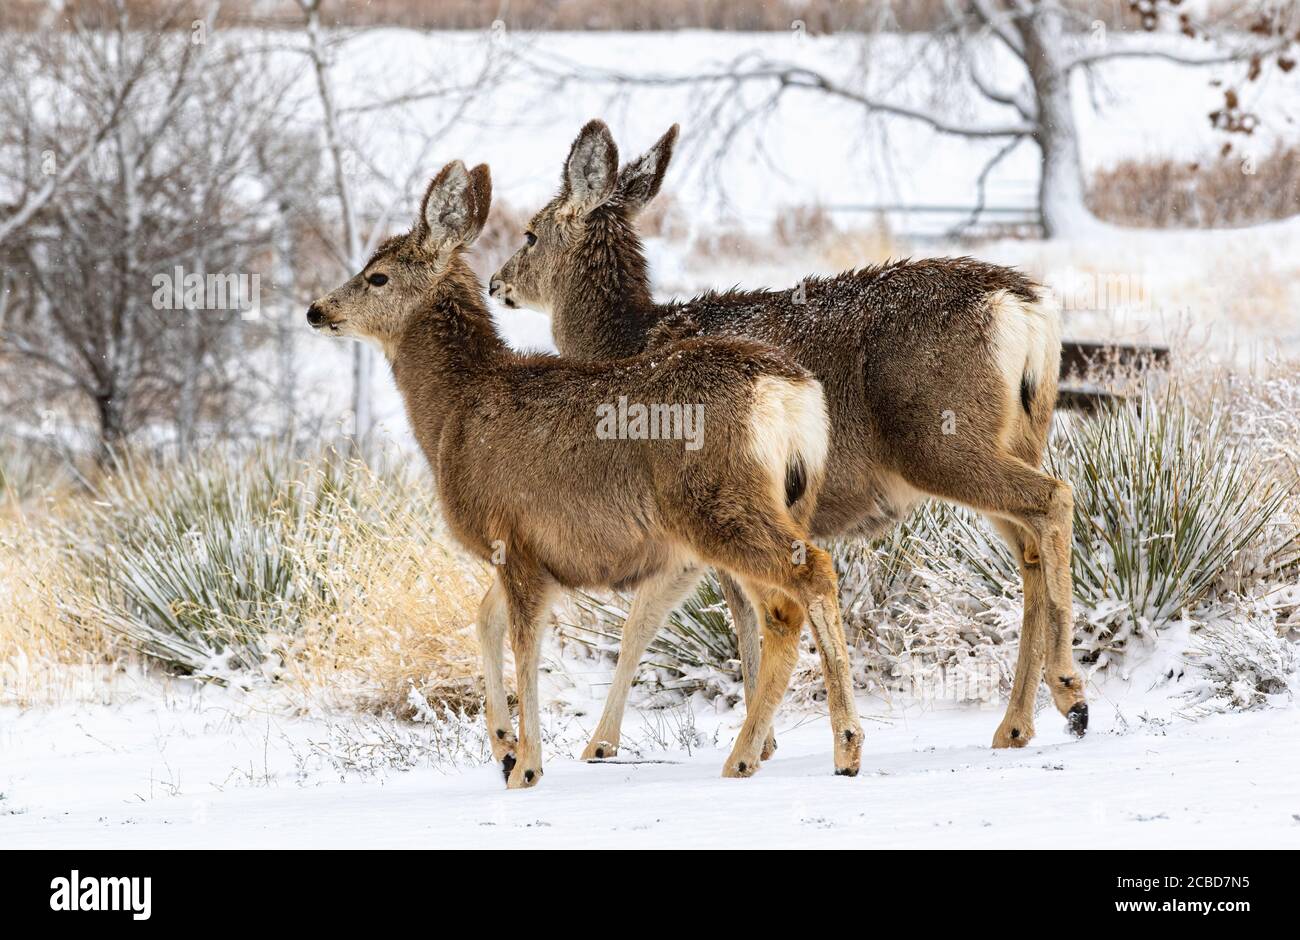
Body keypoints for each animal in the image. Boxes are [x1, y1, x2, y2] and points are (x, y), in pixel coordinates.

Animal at [306, 159, 864, 788]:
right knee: (786, 602)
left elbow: (525, 644)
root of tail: (790, 392)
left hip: (719, 503)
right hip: (780, 501)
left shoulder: (513, 534)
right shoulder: (543, 551)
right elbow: (486, 619)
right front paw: (502, 745)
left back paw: (811, 750)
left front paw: (525, 766)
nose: (317, 310)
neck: (455, 412)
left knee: (804, 579)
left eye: (376, 276)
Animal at [490, 120, 1089, 758]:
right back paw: (1017, 723)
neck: (626, 346)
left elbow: (661, 624)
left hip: (942, 441)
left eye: (529, 233)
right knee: (1030, 545)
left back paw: (1069, 692)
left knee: (1054, 497)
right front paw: (760, 736)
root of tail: (1027, 306)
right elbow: (704, 619)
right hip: (1016, 436)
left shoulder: (695, 512)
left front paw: (611, 745)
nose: (495, 282)